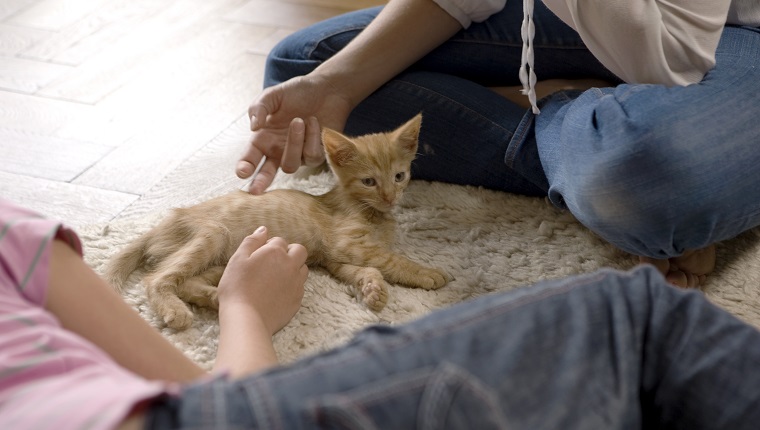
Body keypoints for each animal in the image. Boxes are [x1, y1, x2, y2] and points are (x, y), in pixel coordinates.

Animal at [107, 114, 452, 330]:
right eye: (369, 181)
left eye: (399, 176)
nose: (390, 197)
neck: (370, 212)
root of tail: (164, 223)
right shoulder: (345, 244)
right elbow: (391, 259)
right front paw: (426, 273)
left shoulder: (335, 258)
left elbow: (363, 269)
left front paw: (372, 289)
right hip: (215, 235)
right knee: (156, 278)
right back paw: (176, 309)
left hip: (230, 255)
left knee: (189, 281)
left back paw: (218, 299)